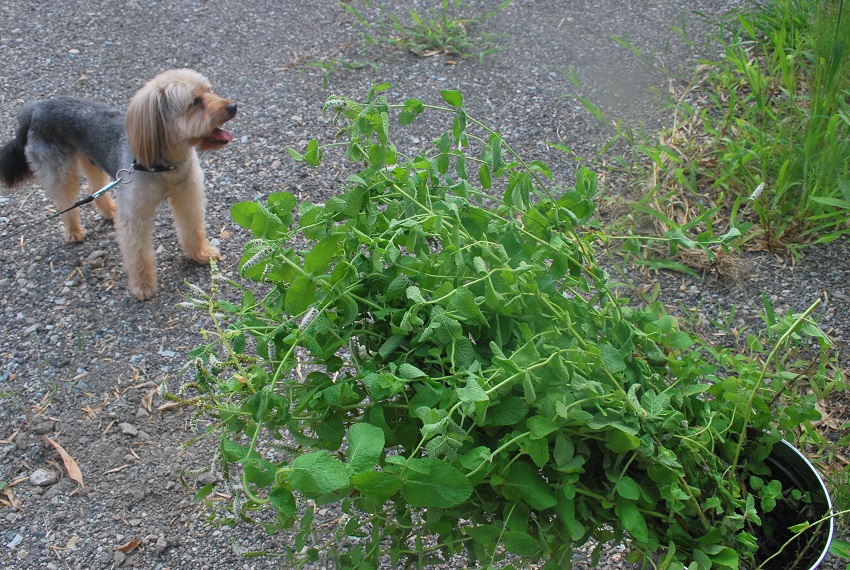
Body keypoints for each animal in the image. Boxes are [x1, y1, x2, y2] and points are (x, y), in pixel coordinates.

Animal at [0, 67, 235, 298]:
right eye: (195, 102)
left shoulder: (188, 197)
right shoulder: (135, 216)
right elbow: (138, 253)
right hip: (60, 171)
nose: (233, 106)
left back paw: (110, 211)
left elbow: (192, 229)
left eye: (209, 90)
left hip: (91, 160)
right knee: (66, 202)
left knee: (94, 189)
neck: (165, 162)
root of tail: (36, 108)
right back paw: (74, 231)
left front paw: (201, 253)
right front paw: (143, 285)